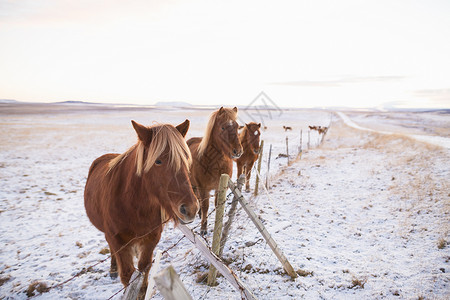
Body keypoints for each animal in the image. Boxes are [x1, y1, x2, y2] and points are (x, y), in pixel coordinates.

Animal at [84, 119, 197, 298]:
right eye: (158, 161)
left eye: (185, 157)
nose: (190, 208)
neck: (133, 206)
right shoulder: (118, 241)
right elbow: (127, 276)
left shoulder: (151, 239)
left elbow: (143, 277)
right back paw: (113, 269)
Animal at [186, 106, 243, 236]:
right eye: (222, 127)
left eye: (237, 127)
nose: (237, 151)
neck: (214, 163)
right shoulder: (203, 188)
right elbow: (205, 206)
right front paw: (203, 228)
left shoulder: (220, 187)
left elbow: (218, 205)